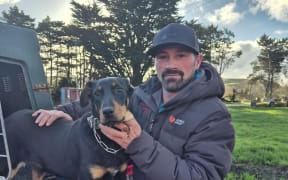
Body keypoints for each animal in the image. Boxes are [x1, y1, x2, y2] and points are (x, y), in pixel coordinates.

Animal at [0, 76, 134, 179]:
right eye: (97, 93)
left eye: (119, 90)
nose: (107, 112)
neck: (106, 140)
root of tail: (7, 119)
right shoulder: (87, 175)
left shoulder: (121, 174)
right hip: (7, 167)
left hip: (38, 168)